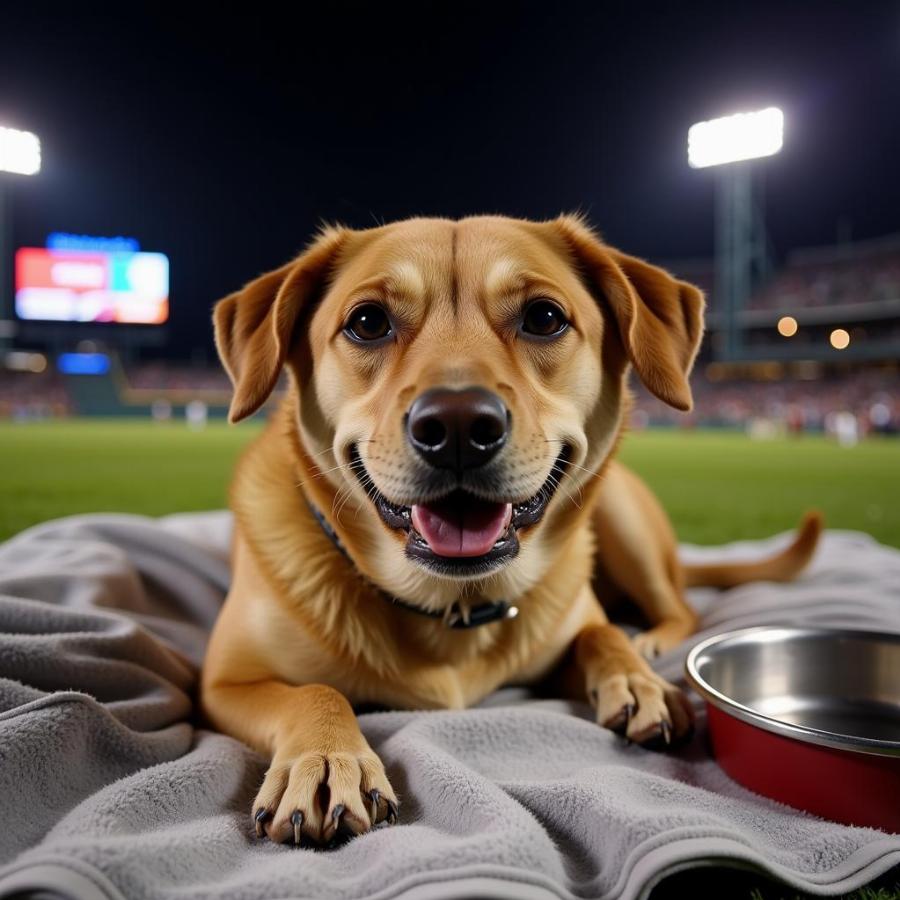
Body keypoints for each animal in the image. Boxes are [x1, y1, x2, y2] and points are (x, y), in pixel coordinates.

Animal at [199, 214, 824, 848]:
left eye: (543, 317)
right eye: (368, 322)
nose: (456, 426)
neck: (452, 607)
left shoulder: (572, 625)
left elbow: (601, 633)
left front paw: (637, 679)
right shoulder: (222, 684)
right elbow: (314, 692)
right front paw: (327, 757)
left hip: (623, 518)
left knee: (681, 607)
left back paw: (651, 640)